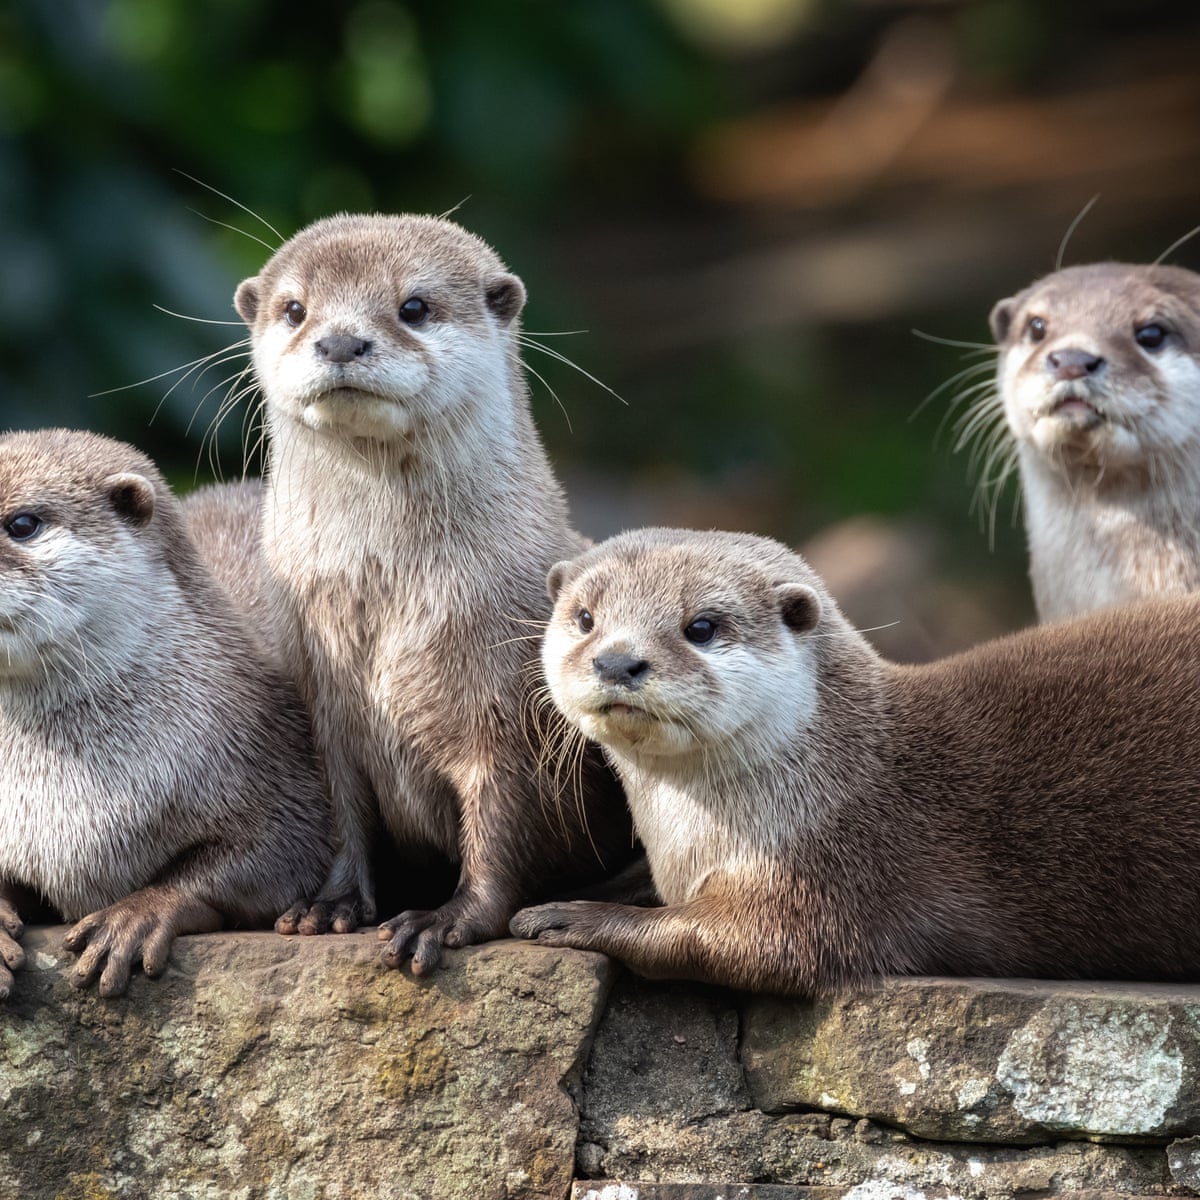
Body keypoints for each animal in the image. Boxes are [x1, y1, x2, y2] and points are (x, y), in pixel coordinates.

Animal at [232, 213, 632, 973]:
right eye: (294, 309)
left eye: (414, 306)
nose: (340, 340)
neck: (390, 605)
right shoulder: (324, 704)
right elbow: (343, 815)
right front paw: (331, 904)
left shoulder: (509, 714)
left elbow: (504, 827)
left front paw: (447, 919)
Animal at [512, 526, 1200, 996]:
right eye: (584, 618)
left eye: (701, 626)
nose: (617, 661)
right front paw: (582, 889)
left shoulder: (835, 868)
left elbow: (748, 945)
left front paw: (572, 917)